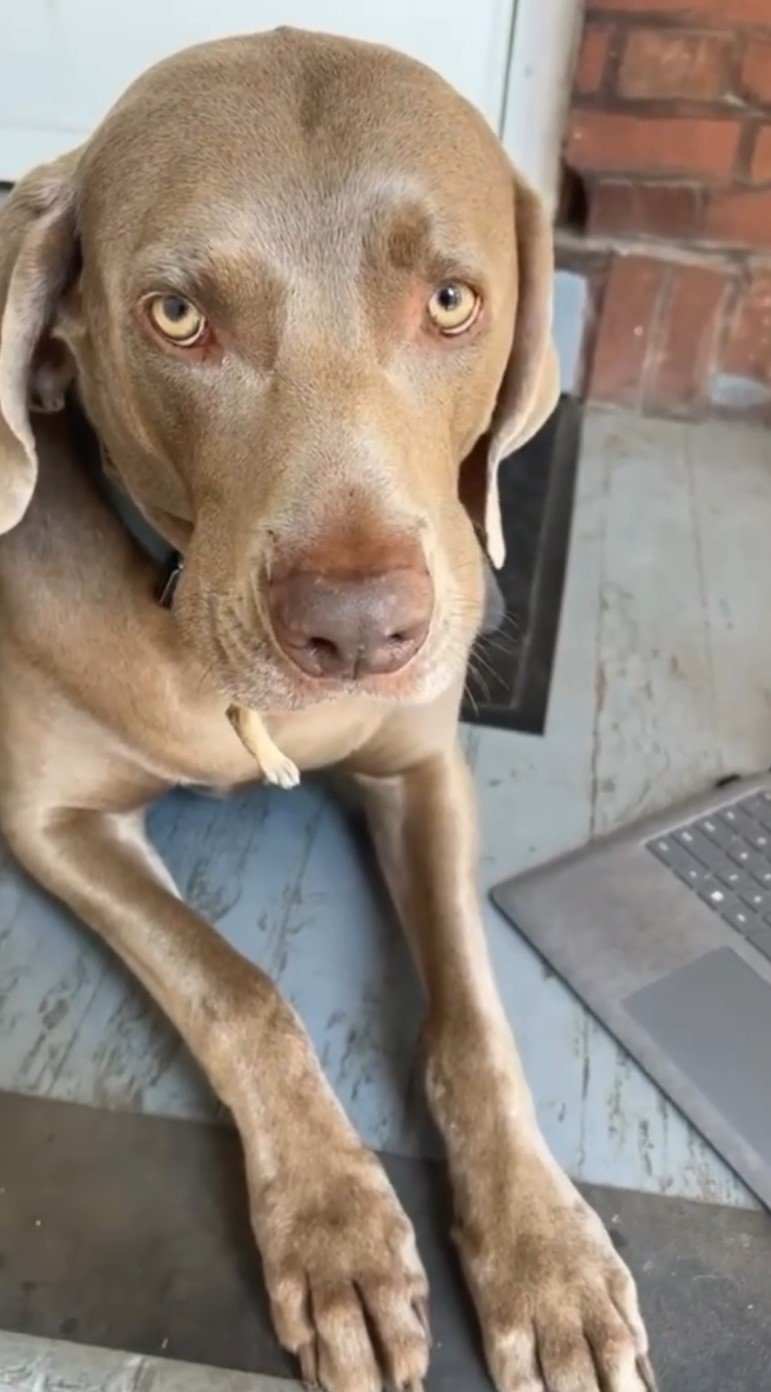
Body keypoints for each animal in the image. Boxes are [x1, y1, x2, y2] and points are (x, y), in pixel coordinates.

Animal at [0, 29, 651, 1392]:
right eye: (176, 315)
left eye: (452, 300)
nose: (360, 632)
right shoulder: (52, 820)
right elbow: (240, 991)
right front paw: (338, 1229)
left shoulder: (422, 770)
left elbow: (474, 1018)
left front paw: (548, 1259)